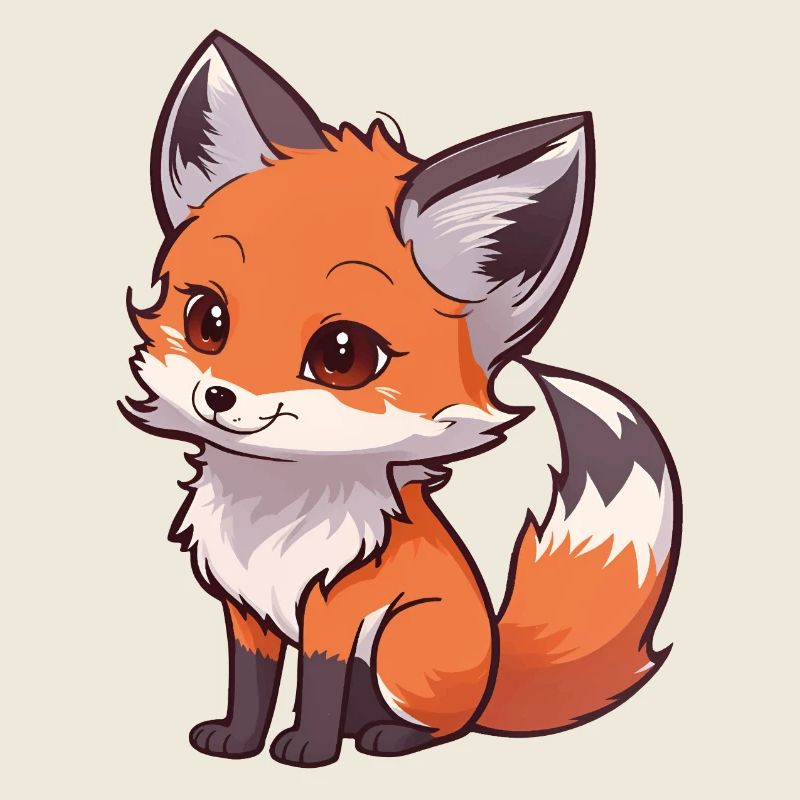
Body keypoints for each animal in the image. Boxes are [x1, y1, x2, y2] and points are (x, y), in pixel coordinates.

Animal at [121, 31, 681, 767]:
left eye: (343, 354)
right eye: (208, 320)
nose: (219, 396)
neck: (272, 511)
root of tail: (493, 670)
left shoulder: (337, 608)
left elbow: (318, 684)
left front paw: (307, 749)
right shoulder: (244, 609)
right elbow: (252, 683)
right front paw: (237, 741)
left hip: (400, 648)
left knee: (442, 725)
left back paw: (387, 737)